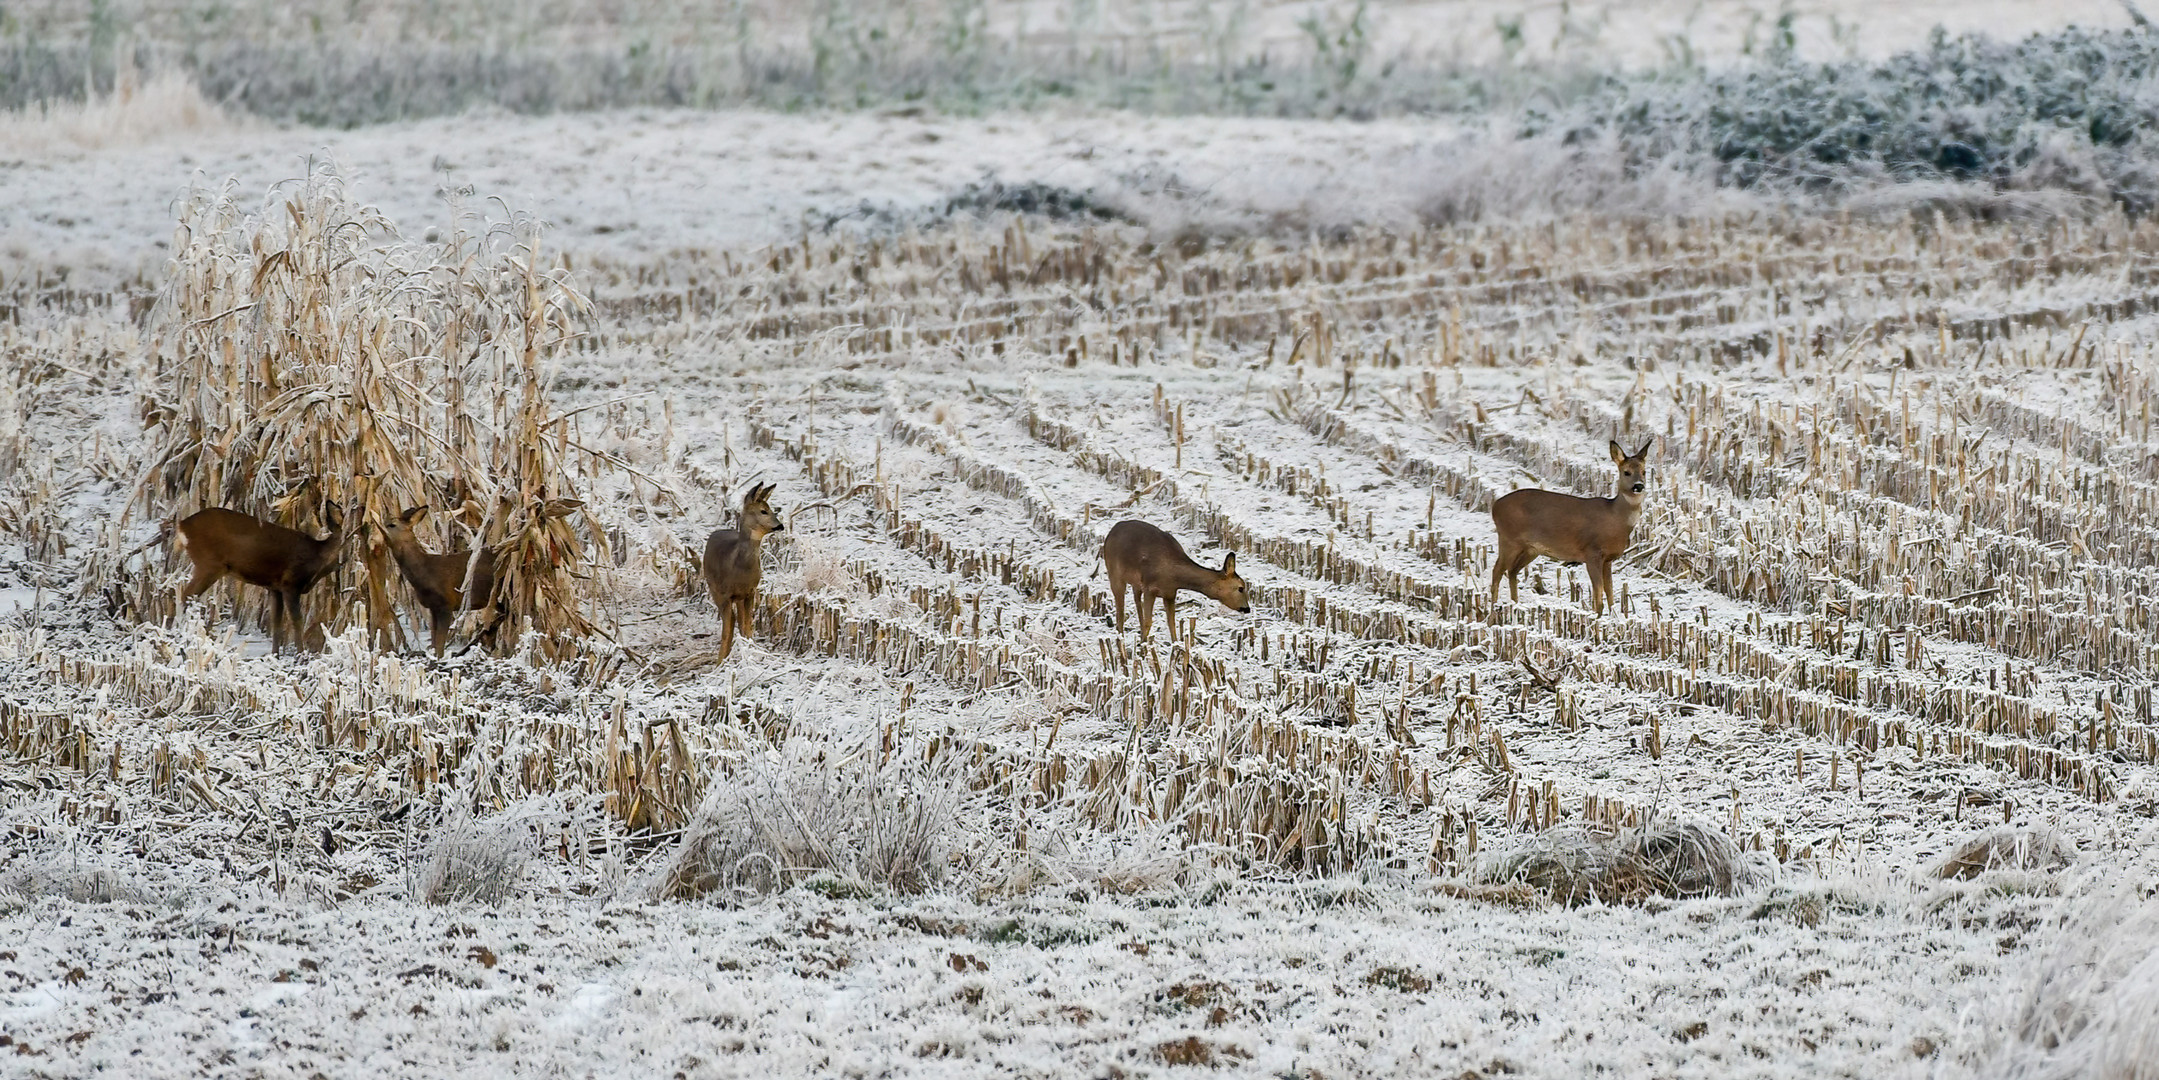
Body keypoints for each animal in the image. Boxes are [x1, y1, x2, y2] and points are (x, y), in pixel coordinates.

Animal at [179, 505, 356, 648]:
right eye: (350, 534)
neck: (317, 559)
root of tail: (182, 526)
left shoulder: (274, 587)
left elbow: (276, 624)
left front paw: (275, 656)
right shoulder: (290, 583)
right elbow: (297, 621)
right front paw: (301, 655)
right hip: (209, 564)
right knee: (186, 595)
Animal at [382, 505, 498, 656]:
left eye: (392, 524)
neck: (426, 574)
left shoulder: (447, 604)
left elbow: (440, 645)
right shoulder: (433, 607)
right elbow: (434, 641)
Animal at [703, 486, 790, 660]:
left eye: (771, 508)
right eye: (763, 511)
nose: (780, 526)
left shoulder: (750, 592)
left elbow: (747, 625)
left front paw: (750, 649)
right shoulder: (724, 595)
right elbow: (727, 629)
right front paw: (721, 661)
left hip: (739, 597)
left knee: (739, 620)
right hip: (714, 588)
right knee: (731, 621)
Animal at [1096, 520, 1252, 643]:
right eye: (1240, 588)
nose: (1247, 608)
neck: (1173, 574)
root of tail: (1111, 531)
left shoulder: (1170, 593)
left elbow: (1171, 621)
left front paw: (1175, 644)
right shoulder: (1150, 588)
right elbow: (1148, 621)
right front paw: (1142, 646)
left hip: (1135, 583)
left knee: (1136, 602)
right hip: (1114, 574)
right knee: (1120, 611)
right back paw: (1121, 638)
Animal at [1494, 434, 1658, 613]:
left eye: (1644, 472)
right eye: (1626, 472)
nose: (1639, 486)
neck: (1616, 519)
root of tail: (1495, 506)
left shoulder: (1608, 559)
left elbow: (1610, 593)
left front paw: (1615, 615)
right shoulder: (1591, 553)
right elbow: (1598, 594)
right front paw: (1597, 617)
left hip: (1531, 548)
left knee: (1512, 571)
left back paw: (1515, 604)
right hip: (1509, 539)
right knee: (1497, 570)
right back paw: (1492, 606)